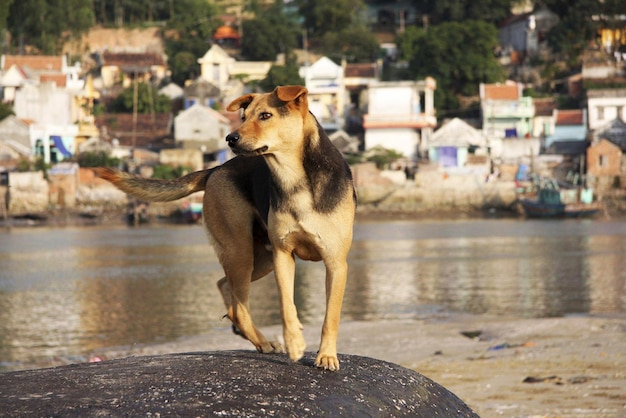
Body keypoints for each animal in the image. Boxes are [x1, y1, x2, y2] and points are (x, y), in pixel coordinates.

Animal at [95, 85, 354, 370]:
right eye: (243, 117)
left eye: (265, 115)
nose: (230, 138)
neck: (295, 178)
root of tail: (216, 169)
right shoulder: (283, 256)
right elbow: (287, 306)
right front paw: (295, 343)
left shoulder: (335, 263)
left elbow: (331, 316)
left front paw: (326, 355)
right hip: (244, 252)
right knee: (237, 305)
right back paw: (261, 340)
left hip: (258, 258)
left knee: (226, 288)